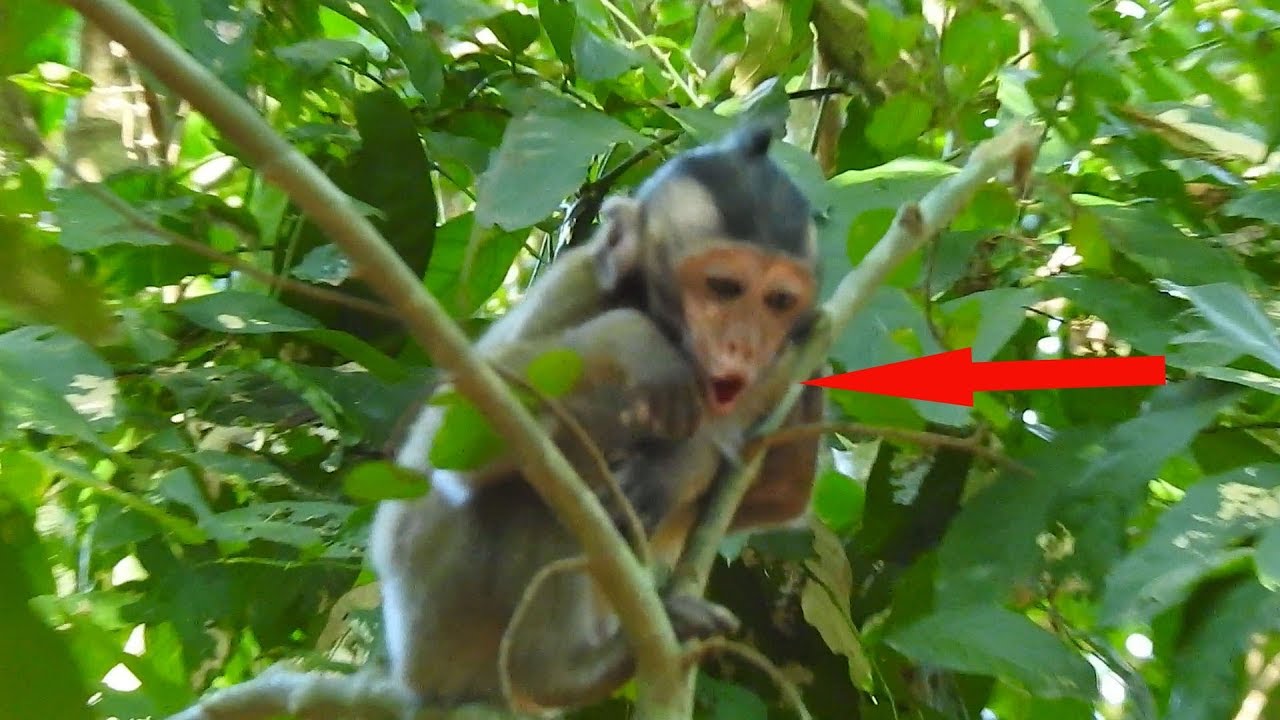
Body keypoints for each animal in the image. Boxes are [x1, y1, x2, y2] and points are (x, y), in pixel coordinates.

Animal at [369, 124, 825, 714]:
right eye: (724, 288)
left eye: (779, 301)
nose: (745, 344)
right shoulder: (578, 285)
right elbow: (452, 439)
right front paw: (636, 342)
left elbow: (777, 495)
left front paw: (677, 466)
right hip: (443, 624)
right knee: (537, 488)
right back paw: (560, 673)